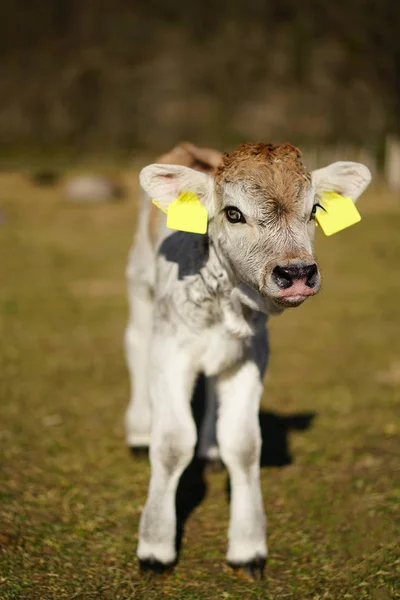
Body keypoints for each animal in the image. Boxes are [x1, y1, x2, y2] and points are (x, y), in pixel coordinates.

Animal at [125, 142, 372, 576]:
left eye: (314, 210)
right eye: (233, 213)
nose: (296, 273)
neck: (225, 300)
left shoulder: (253, 355)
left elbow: (243, 444)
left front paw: (248, 548)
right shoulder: (170, 349)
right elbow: (172, 443)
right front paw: (155, 548)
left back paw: (209, 451)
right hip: (139, 281)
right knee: (136, 342)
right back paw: (139, 432)